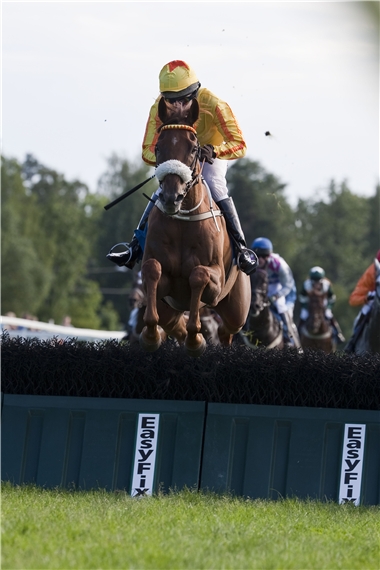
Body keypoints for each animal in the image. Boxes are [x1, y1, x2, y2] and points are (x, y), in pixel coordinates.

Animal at [138, 97, 251, 356]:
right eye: (158, 148)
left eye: (193, 148)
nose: (172, 197)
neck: (183, 221)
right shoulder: (160, 280)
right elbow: (152, 269)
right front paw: (150, 336)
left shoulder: (216, 279)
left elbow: (198, 274)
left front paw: (196, 339)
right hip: (169, 310)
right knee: (175, 325)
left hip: (237, 308)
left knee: (227, 329)